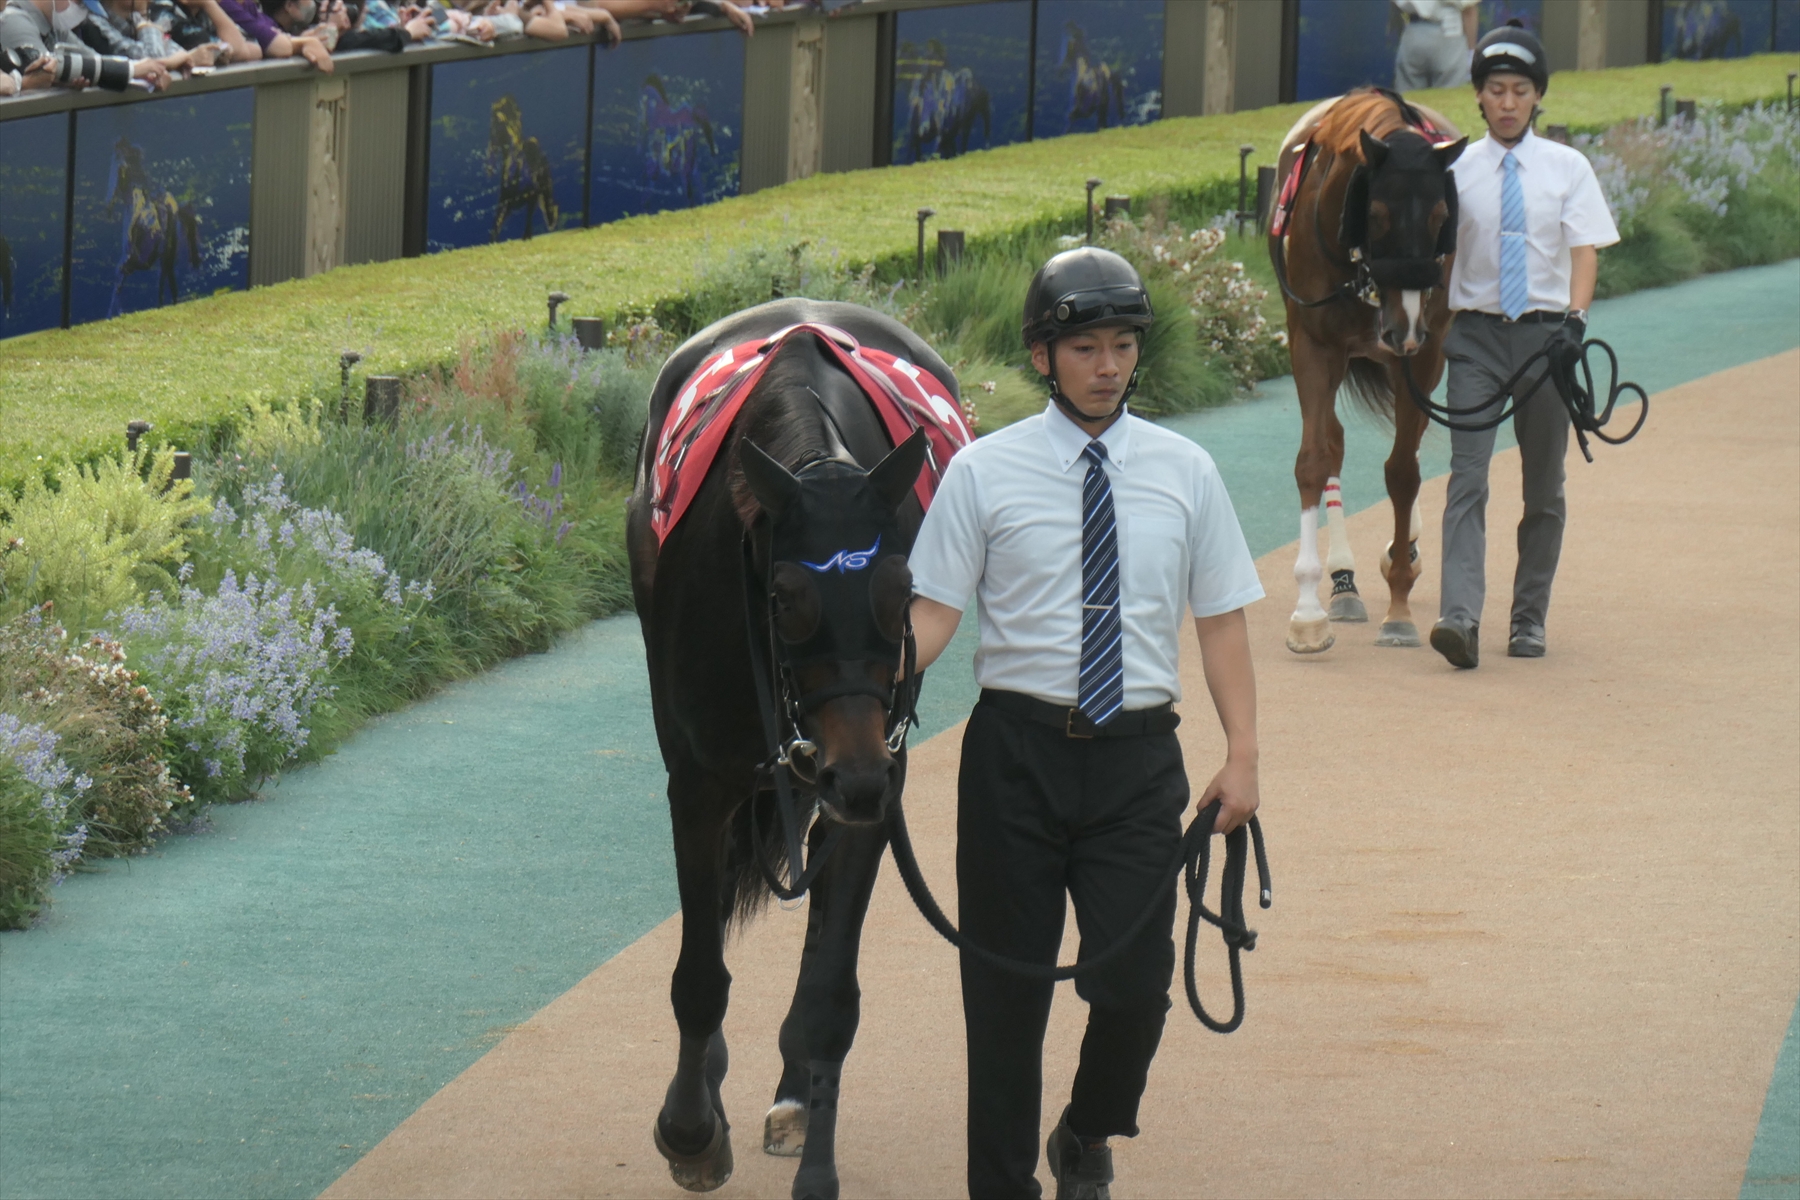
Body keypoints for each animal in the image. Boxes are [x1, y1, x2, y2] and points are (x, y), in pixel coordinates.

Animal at [103, 139, 200, 319]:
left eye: (115, 162)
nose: (108, 206)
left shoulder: (131, 259)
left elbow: (118, 281)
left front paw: (115, 313)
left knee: (162, 279)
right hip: (167, 256)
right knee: (169, 281)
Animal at [487, 95, 559, 240]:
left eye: (516, 118)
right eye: (494, 125)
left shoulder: (532, 194)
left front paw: (527, 236)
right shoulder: (505, 202)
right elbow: (496, 226)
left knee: (550, 207)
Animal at [625, 298, 961, 1200]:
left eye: (903, 589)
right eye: (783, 596)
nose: (856, 775)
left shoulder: (876, 777)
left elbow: (830, 996)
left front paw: (811, 1143)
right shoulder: (698, 782)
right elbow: (698, 975)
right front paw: (690, 1129)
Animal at [1267, 88, 1465, 654]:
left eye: (1441, 213)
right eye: (1374, 212)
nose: (1403, 325)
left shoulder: (1423, 350)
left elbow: (1403, 471)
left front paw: (1399, 604)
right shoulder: (1313, 345)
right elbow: (1315, 459)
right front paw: (1308, 612)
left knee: (1410, 443)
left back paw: (1406, 551)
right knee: (1335, 440)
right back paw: (1343, 581)